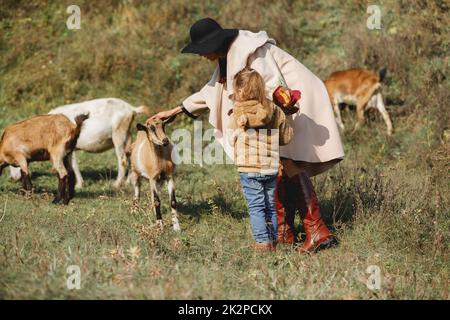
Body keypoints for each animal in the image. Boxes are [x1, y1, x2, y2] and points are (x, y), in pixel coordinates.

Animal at [9, 97, 149, 188]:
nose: (13, 178)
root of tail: (131, 109)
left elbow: (73, 165)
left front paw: (79, 185)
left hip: (119, 134)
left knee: (122, 159)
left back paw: (116, 184)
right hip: (128, 135)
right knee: (130, 155)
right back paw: (128, 182)